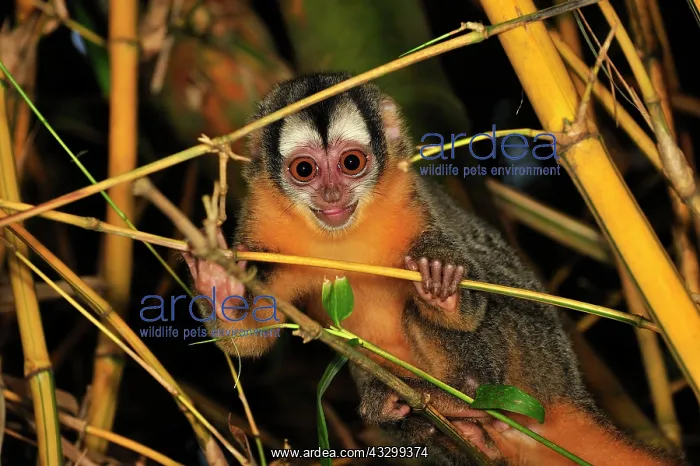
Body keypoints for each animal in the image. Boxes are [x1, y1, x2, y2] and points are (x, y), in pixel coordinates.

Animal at [182, 72, 684, 465]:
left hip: (538, 360)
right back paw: (429, 422)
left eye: (351, 163)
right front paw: (217, 283)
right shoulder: (260, 224)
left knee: (441, 313)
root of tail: (571, 393)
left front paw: (442, 289)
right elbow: (251, 339)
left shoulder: (415, 201)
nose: (331, 194)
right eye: (304, 169)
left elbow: (472, 297)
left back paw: (467, 397)